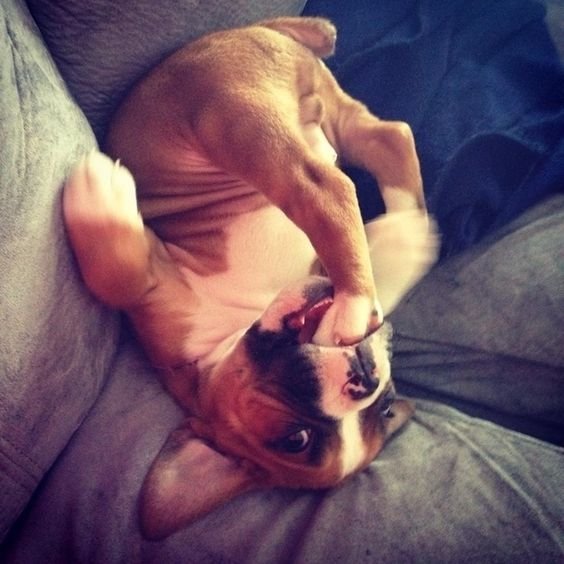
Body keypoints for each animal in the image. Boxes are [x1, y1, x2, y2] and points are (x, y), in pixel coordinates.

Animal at [64, 16, 438, 536]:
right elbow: (115, 277)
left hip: (235, 119)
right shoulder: (158, 288)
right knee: (377, 145)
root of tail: (263, 27)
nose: (365, 378)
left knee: (332, 183)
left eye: (384, 407)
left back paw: (360, 295)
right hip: (260, 114)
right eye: (296, 439)